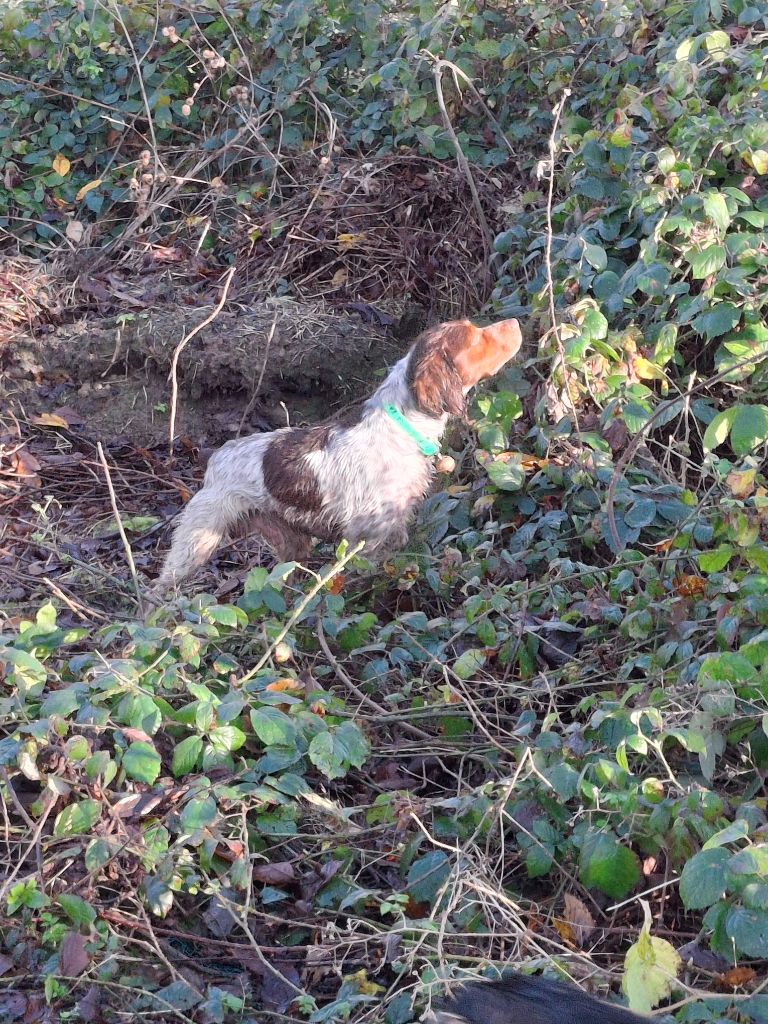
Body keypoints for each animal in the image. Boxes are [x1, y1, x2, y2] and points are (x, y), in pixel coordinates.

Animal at [153, 317, 524, 593]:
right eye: (474, 338)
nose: (516, 322)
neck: (401, 423)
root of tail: (216, 457)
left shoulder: (393, 528)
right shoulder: (366, 538)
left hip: (290, 539)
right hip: (197, 540)